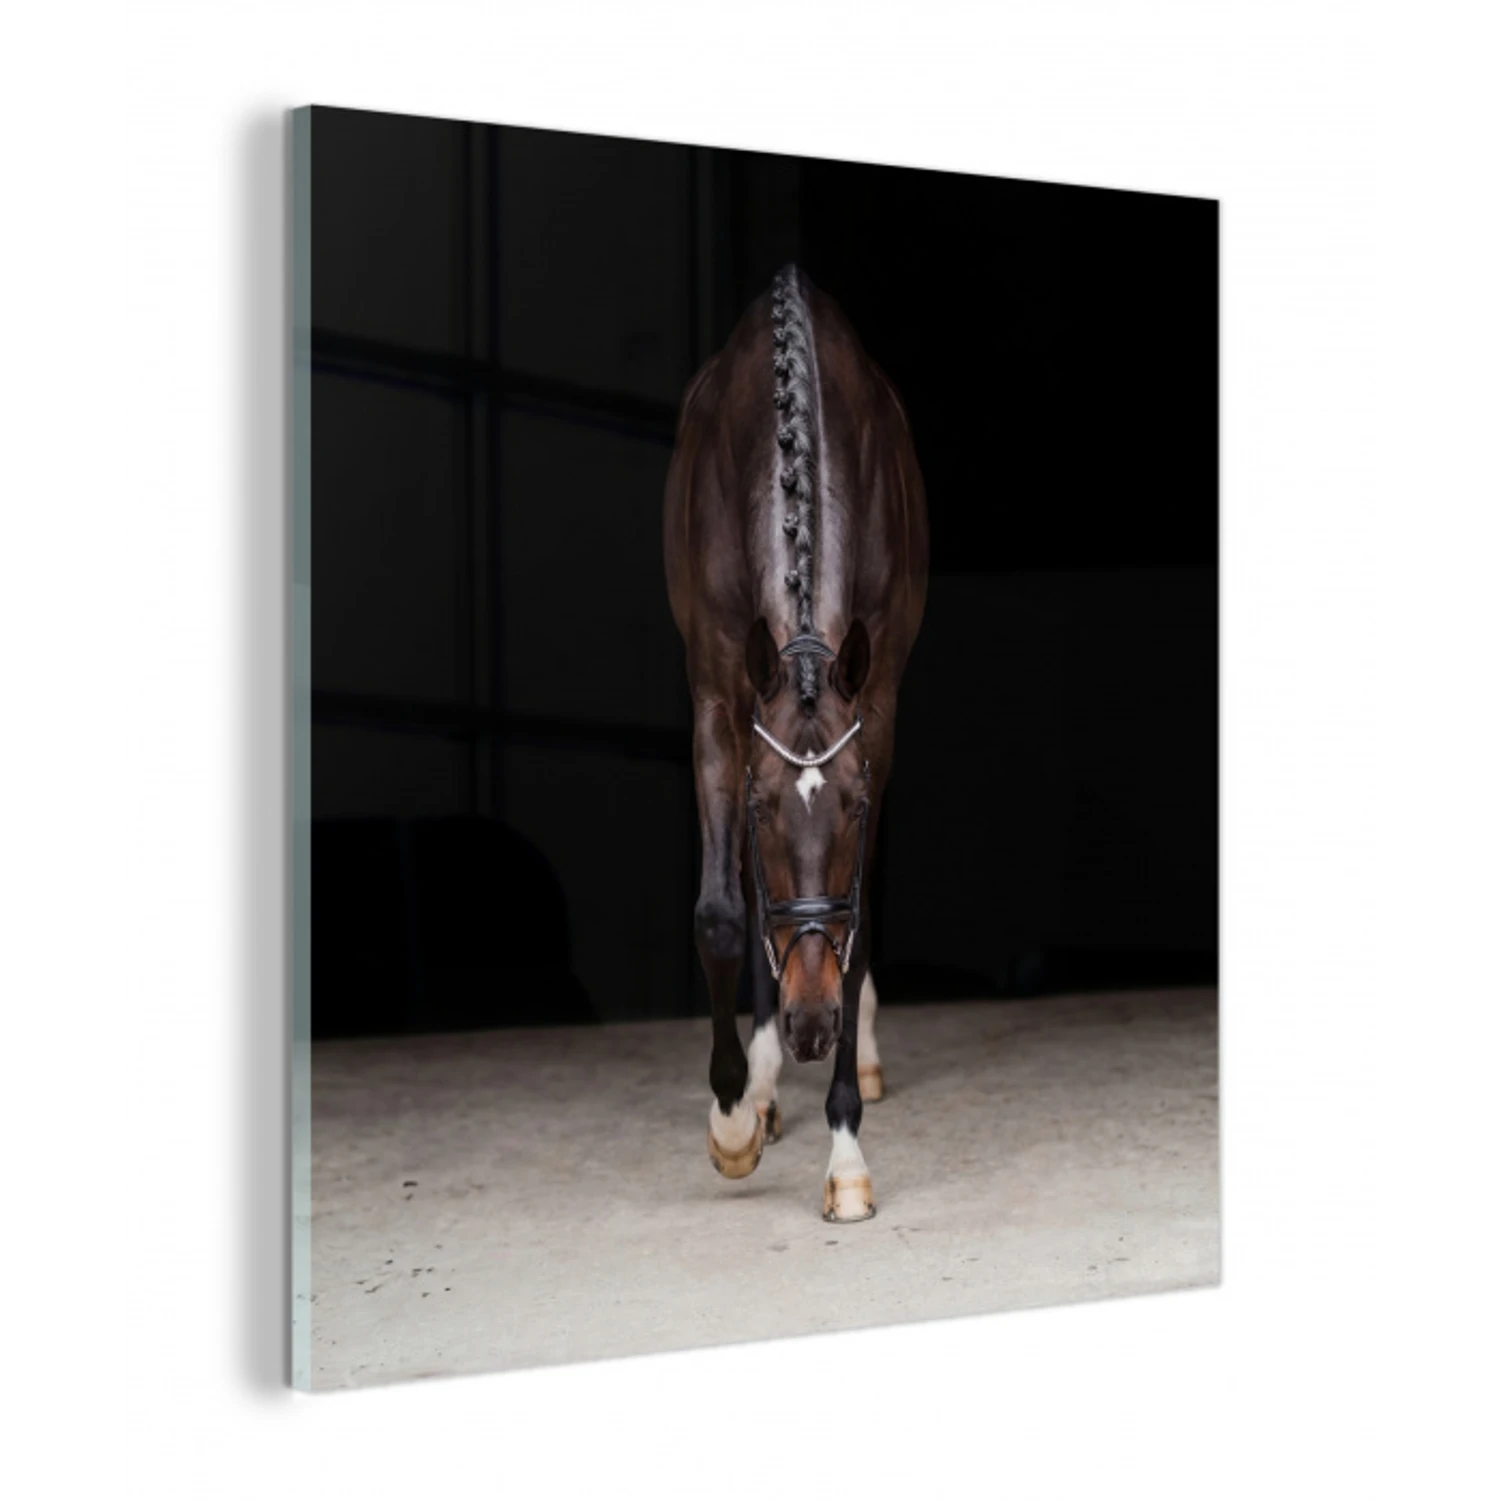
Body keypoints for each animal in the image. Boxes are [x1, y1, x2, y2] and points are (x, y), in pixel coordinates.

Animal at [664, 265, 929, 1222]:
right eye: (765, 805)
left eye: (850, 805)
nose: (814, 1029)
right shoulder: (717, 702)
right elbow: (720, 913)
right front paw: (735, 1117)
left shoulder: (876, 709)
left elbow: (855, 916)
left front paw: (845, 1150)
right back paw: (765, 1082)